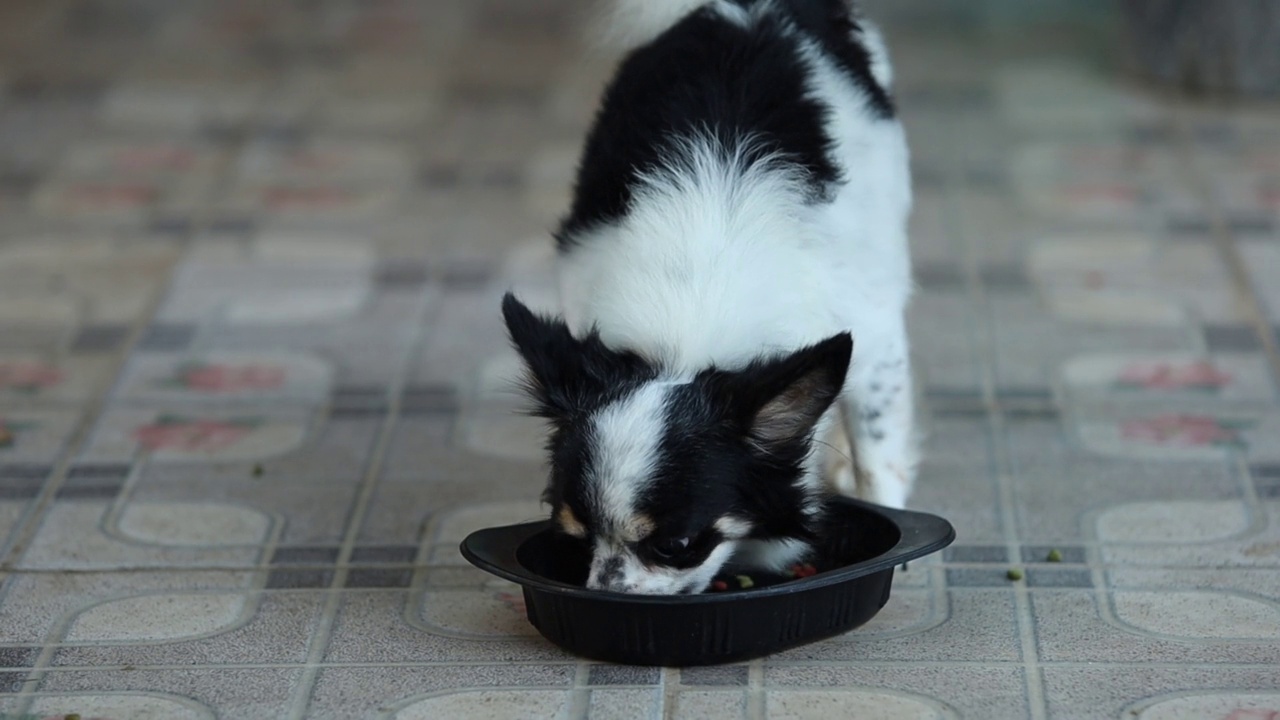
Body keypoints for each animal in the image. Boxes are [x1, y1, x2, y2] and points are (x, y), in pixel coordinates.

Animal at [496, 0, 911, 594]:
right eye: (576, 538)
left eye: (676, 546)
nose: (608, 596)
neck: (687, 338)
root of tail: (748, 9)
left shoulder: (875, 340)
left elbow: (880, 454)